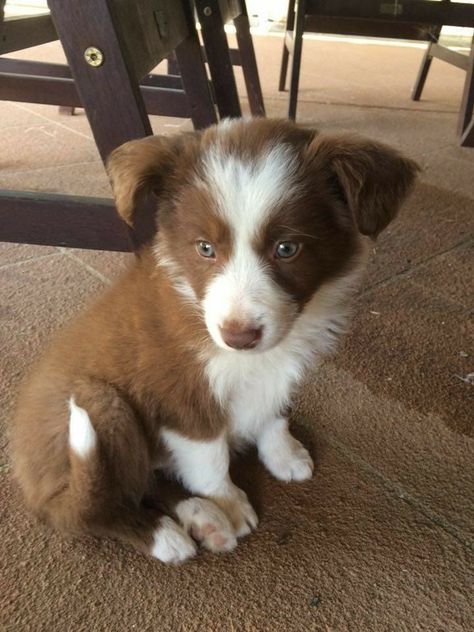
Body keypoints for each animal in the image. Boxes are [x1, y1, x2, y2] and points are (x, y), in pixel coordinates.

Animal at [11, 118, 418, 564]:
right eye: (205, 248)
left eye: (286, 248)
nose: (238, 336)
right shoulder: (179, 394)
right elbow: (210, 458)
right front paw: (229, 502)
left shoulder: (280, 366)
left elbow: (274, 412)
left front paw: (284, 453)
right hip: (103, 407)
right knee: (98, 508)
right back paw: (168, 534)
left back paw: (200, 517)